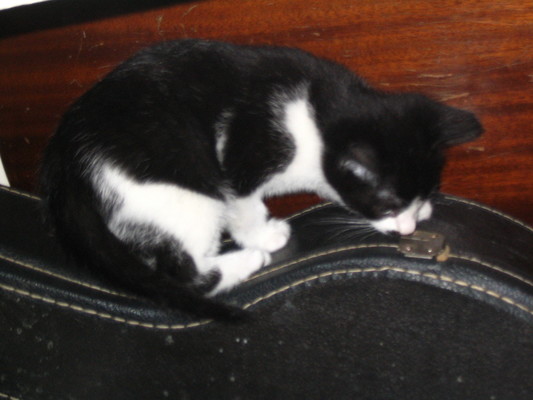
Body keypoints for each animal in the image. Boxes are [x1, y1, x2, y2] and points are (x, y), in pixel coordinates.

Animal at [39, 38, 484, 318]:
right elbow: (242, 202)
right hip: (182, 182)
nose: (408, 227)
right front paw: (262, 236)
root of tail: (64, 153)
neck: (318, 115)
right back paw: (246, 259)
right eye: (387, 205)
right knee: (186, 274)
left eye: (427, 192)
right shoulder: (244, 151)